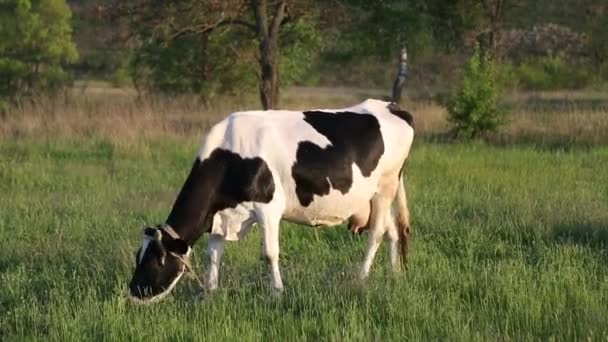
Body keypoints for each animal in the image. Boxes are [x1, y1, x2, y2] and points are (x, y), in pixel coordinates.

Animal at [127, 97, 414, 304]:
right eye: (137, 255)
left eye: (155, 259)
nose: (133, 292)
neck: (230, 155)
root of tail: (392, 106)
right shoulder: (221, 214)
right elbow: (213, 254)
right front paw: (209, 293)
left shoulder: (268, 208)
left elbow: (269, 253)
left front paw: (277, 293)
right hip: (377, 194)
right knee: (391, 231)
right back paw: (395, 274)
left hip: (385, 186)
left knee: (376, 233)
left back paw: (361, 278)